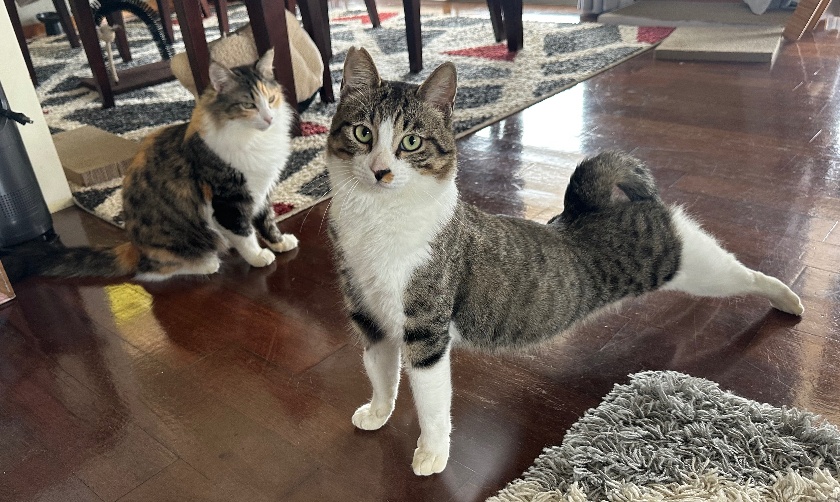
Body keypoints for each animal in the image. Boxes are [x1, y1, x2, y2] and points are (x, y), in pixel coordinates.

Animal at [3, 49, 298, 282]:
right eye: (248, 104)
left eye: (271, 99)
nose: (269, 118)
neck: (254, 139)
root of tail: (133, 246)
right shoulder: (229, 200)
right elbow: (244, 233)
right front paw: (259, 256)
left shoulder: (261, 189)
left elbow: (267, 221)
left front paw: (280, 242)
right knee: (151, 270)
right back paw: (207, 263)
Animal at [325, 47, 805, 476]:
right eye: (363, 134)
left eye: (410, 142)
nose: (380, 171)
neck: (378, 219)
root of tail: (592, 206)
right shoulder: (369, 318)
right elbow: (380, 373)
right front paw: (378, 412)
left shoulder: (426, 331)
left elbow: (431, 402)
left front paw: (431, 454)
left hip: (693, 263)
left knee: (747, 273)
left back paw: (788, 300)